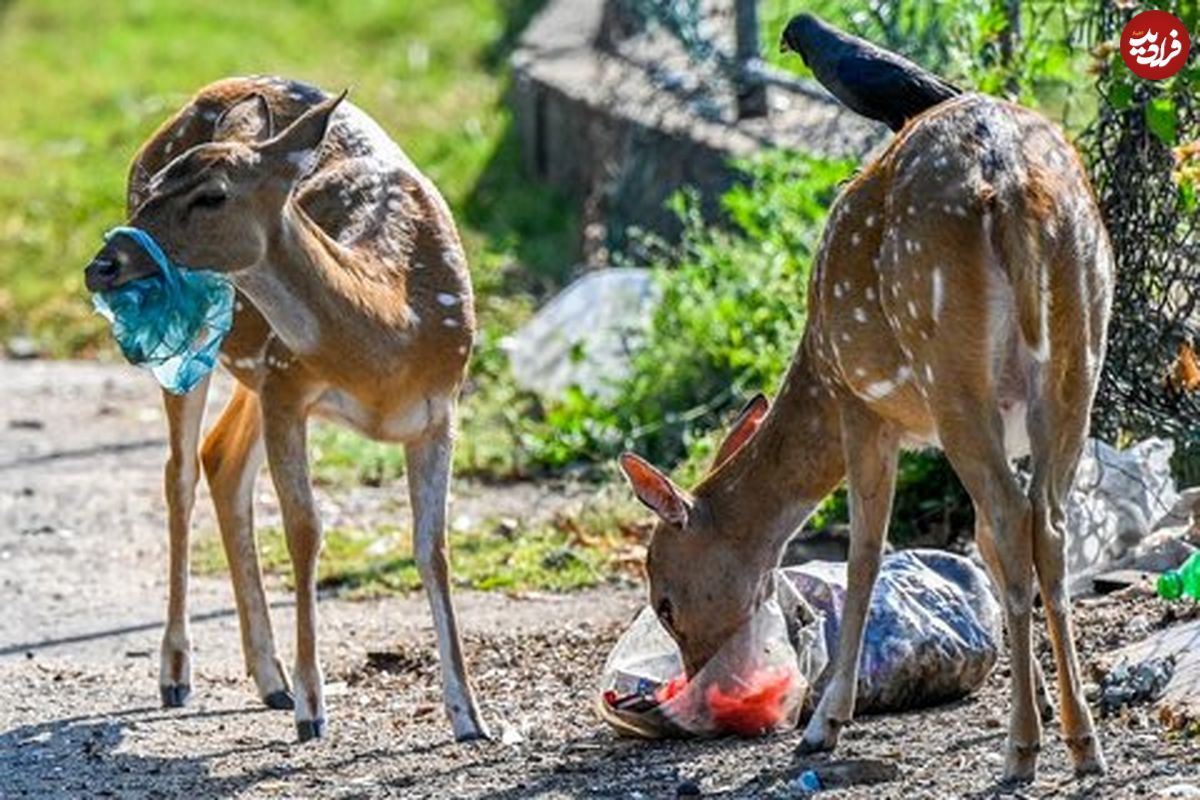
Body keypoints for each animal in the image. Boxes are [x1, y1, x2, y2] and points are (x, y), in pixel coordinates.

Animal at [81, 76, 487, 743]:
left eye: (212, 195)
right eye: (158, 184)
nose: (101, 263)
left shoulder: (440, 412)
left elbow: (433, 549)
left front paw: (470, 717)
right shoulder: (288, 385)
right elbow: (306, 530)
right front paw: (313, 708)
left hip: (253, 367)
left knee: (220, 459)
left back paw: (268, 679)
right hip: (213, 353)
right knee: (180, 474)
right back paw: (177, 673)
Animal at [624, 92, 1108, 782]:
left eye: (664, 600)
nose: (698, 683)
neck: (816, 372)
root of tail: (1012, 189)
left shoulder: (861, 406)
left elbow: (865, 553)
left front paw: (824, 723)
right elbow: (983, 545)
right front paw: (1039, 693)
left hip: (950, 370)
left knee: (1015, 518)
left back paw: (1021, 750)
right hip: (1078, 359)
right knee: (1048, 523)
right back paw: (1082, 741)